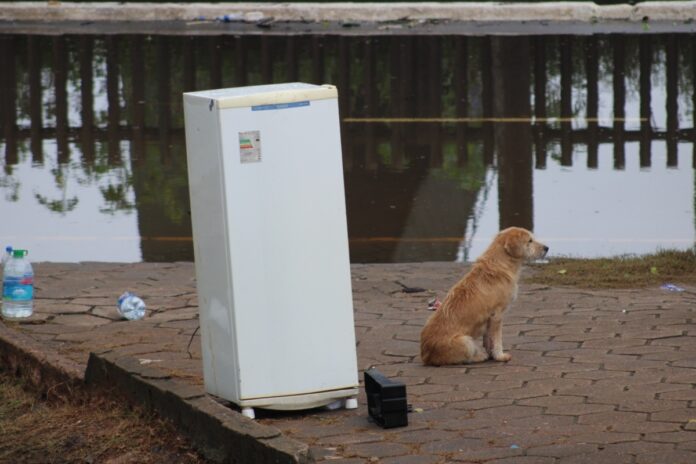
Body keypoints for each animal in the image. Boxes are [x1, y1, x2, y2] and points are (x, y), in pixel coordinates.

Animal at [418, 227, 548, 366]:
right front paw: (500, 356)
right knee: (464, 358)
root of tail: (426, 356)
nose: (547, 248)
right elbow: (497, 340)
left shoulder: (489, 319)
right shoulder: (497, 315)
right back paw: (479, 356)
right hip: (465, 341)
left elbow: (488, 339)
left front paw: (492, 354)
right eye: (530, 241)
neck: (501, 263)